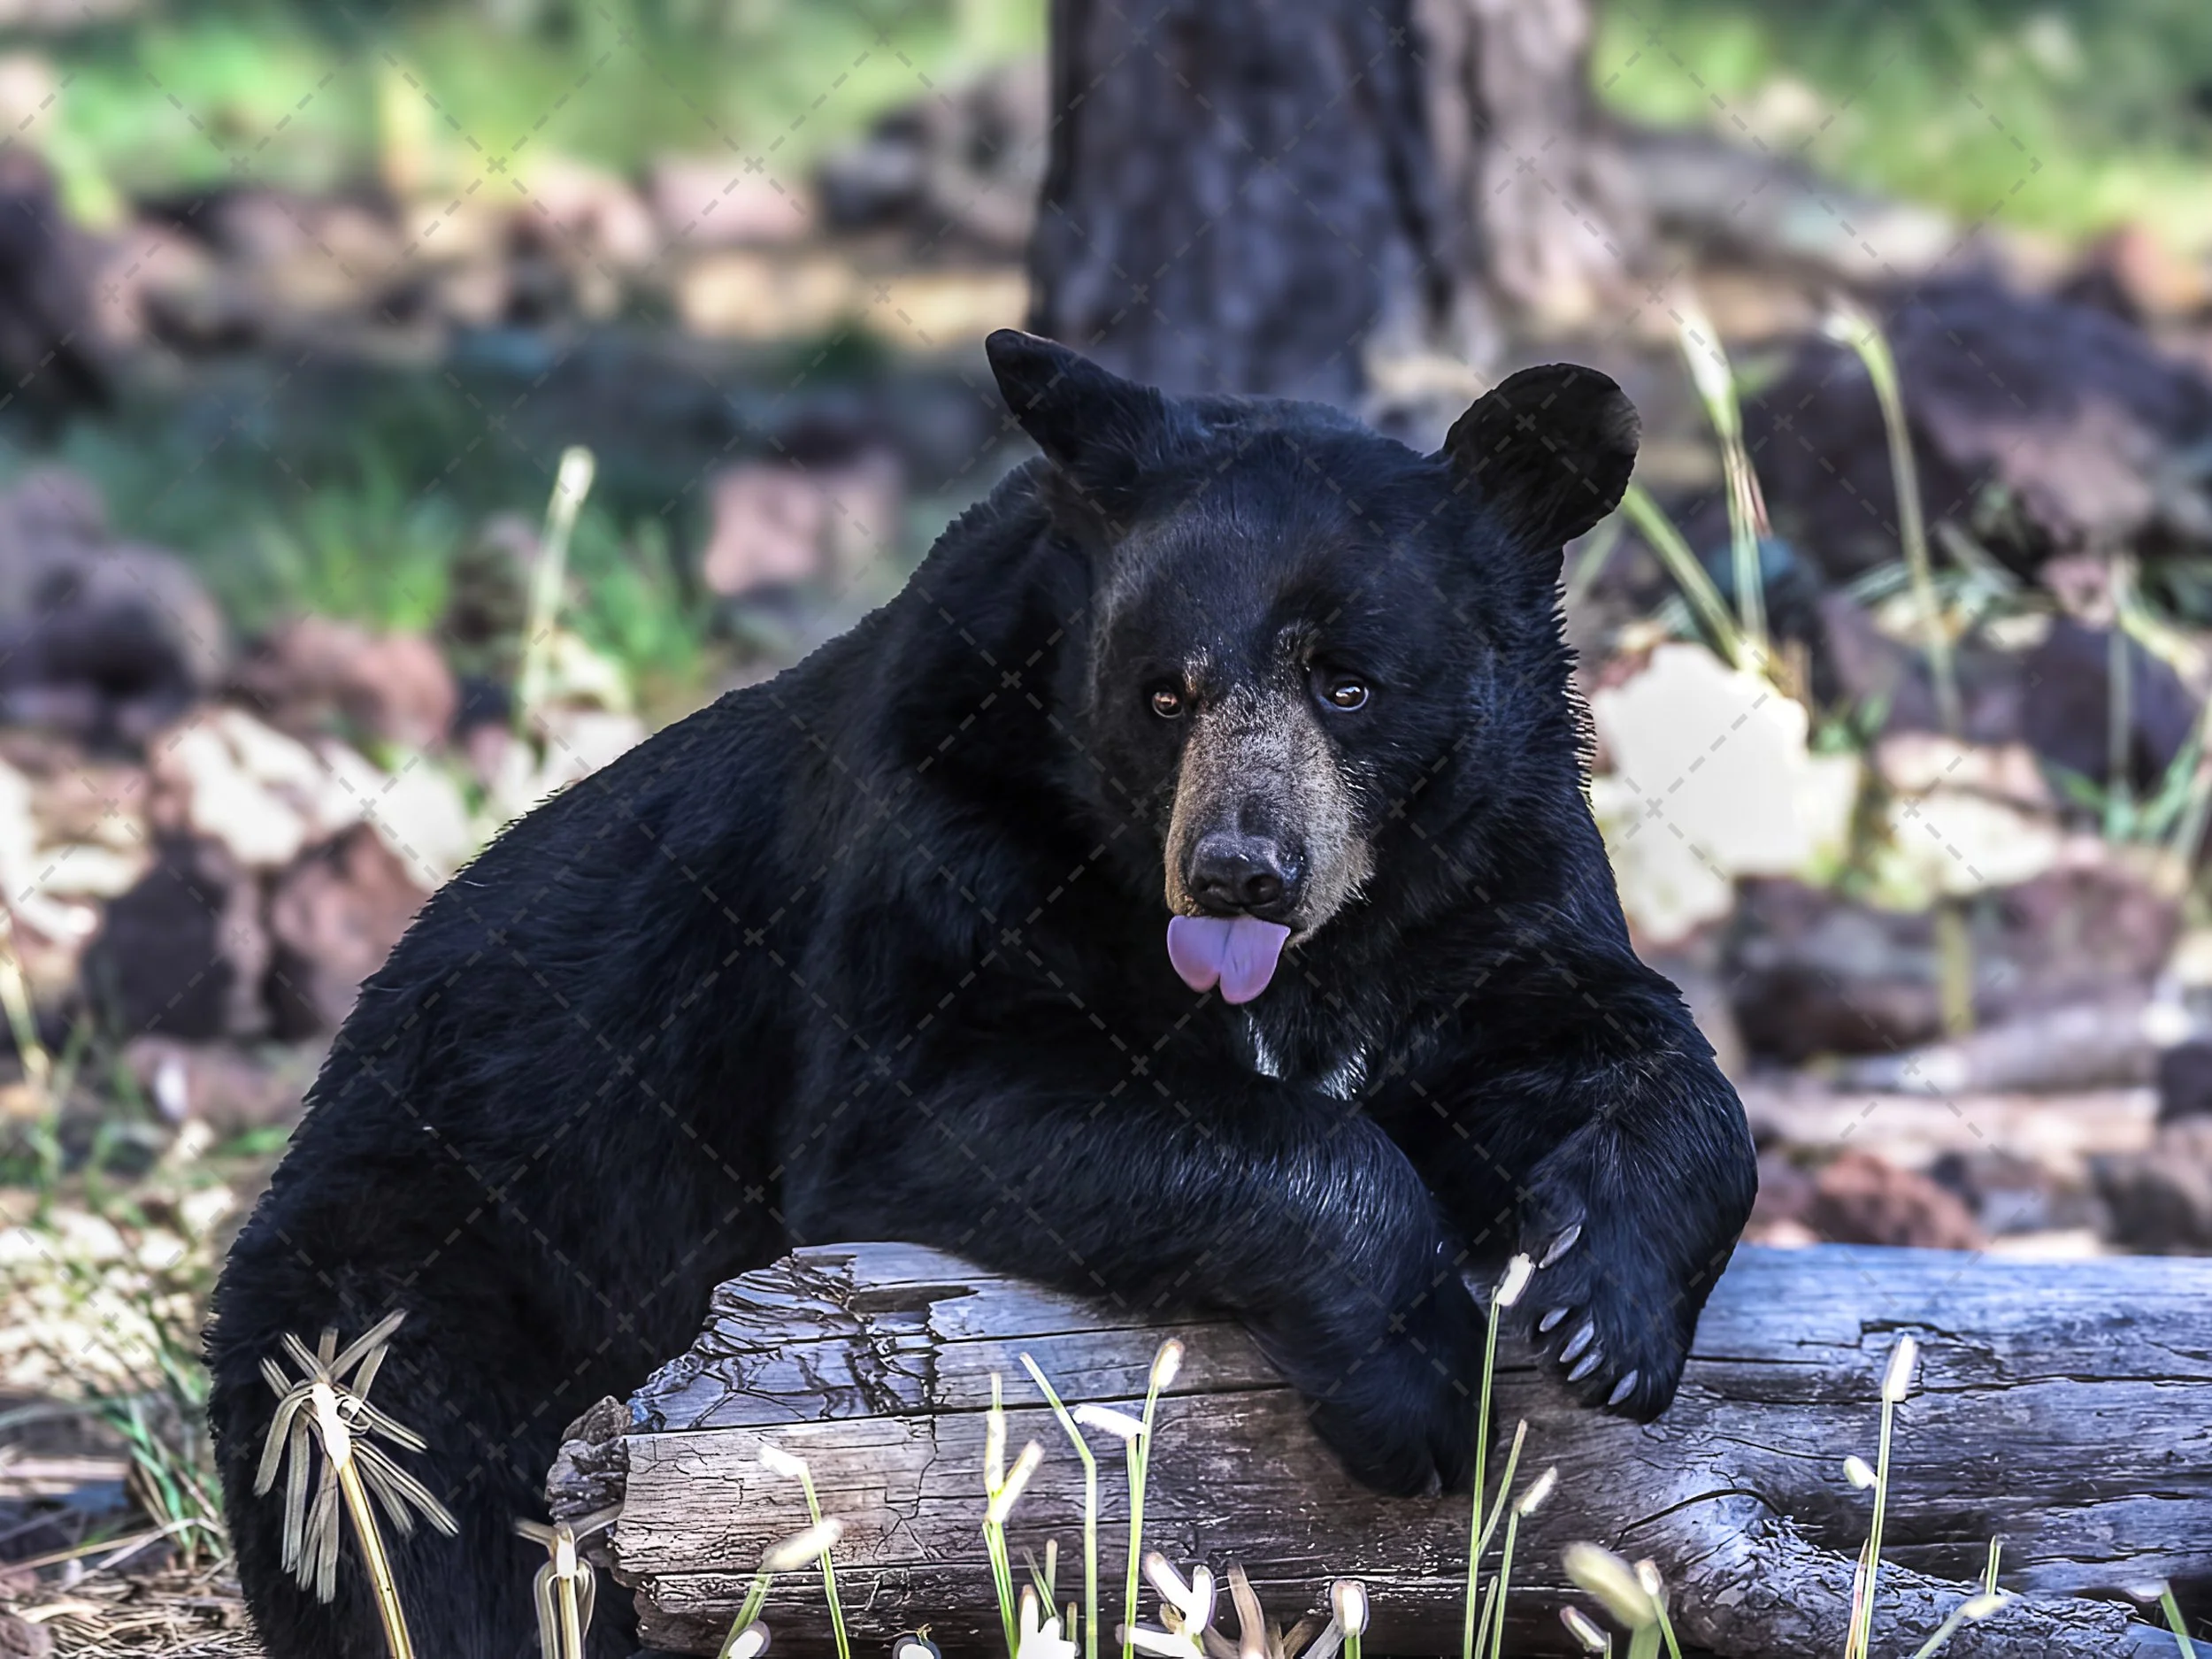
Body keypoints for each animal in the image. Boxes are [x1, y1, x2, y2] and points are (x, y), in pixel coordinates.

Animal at [206, 331, 1758, 1658]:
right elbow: (935, 1097)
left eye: (1351, 683)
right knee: (413, 1510)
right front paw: (1419, 1382)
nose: (1240, 872)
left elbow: (1616, 1040)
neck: (1322, 945)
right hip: (423, 1272)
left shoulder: (1496, 873)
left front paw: (1606, 1311)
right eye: (1163, 692)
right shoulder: (944, 835)